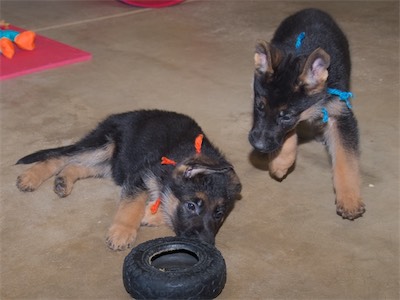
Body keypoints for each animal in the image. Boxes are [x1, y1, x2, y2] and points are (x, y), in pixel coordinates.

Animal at [15, 109, 241, 250]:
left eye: (219, 213)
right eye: (191, 206)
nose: (207, 245)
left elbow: (165, 207)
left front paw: (150, 215)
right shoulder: (139, 176)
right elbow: (133, 205)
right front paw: (122, 231)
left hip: (111, 164)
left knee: (76, 166)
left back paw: (63, 180)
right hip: (103, 145)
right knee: (59, 157)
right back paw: (30, 177)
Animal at [248, 8, 364, 220]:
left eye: (286, 115)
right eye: (259, 106)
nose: (258, 146)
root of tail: (312, 10)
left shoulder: (340, 114)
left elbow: (346, 159)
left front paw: (350, 199)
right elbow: (289, 133)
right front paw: (281, 161)